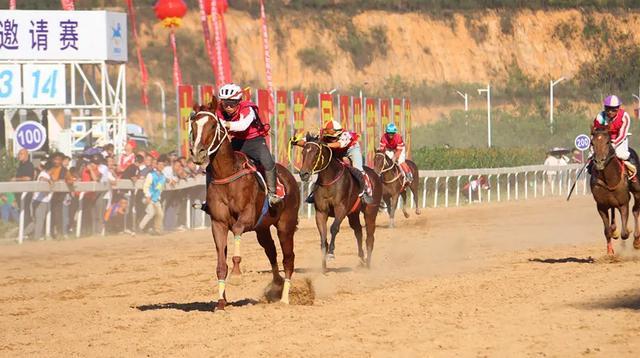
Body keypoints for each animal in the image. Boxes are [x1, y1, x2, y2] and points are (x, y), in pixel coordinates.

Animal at [189, 100, 302, 310]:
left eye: (213, 126)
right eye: (193, 125)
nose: (198, 153)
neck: (227, 173)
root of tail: (290, 176)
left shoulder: (247, 217)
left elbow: (237, 232)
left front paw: (236, 274)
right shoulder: (218, 223)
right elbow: (220, 265)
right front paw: (221, 302)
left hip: (285, 225)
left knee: (288, 258)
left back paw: (284, 299)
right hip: (262, 229)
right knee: (271, 251)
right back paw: (276, 285)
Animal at [298, 137, 382, 268]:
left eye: (316, 153)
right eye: (303, 152)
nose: (303, 174)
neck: (329, 181)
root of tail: (375, 175)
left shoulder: (341, 208)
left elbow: (334, 228)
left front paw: (331, 252)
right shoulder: (321, 212)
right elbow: (322, 233)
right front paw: (324, 258)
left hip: (370, 211)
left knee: (370, 236)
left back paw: (368, 262)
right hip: (353, 214)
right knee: (358, 231)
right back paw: (361, 257)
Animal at [592, 126, 640, 255]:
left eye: (608, 142)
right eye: (592, 143)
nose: (599, 161)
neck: (609, 180)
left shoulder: (623, 203)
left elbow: (625, 233)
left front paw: (627, 231)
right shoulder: (601, 206)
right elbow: (606, 231)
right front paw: (610, 251)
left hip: (637, 191)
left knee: (635, 210)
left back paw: (636, 240)